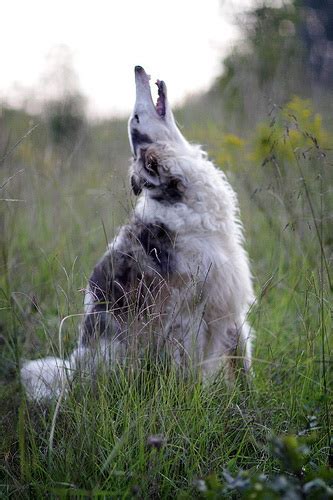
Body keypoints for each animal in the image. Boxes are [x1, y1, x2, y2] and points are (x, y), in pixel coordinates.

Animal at [20, 67, 254, 402]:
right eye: (136, 117)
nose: (138, 69)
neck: (180, 196)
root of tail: (72, 376)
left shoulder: (229, 299)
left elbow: (242, 359)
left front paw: (250, 396)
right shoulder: (187, 314)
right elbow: (190, 368)